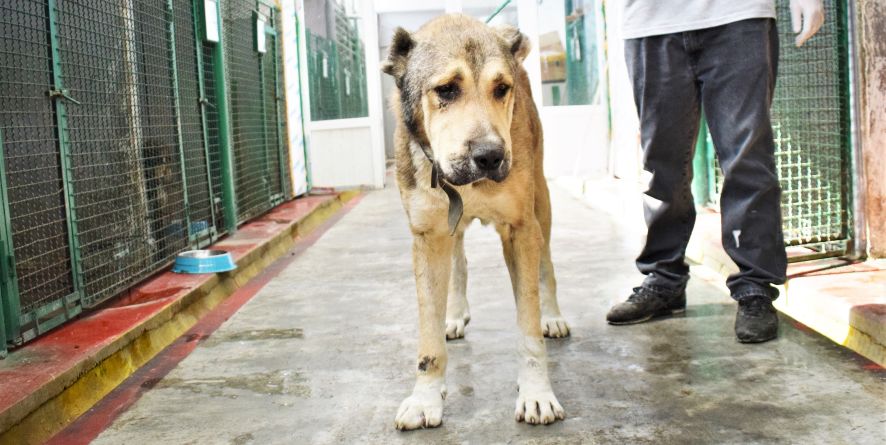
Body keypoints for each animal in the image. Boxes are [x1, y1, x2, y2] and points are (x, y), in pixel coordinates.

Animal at [382, 14, 570, 430]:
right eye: (446, 90)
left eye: (501, 89)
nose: (490, 156)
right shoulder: (427, 235)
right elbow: (429, 339)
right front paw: (425, 398)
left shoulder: (520, 229)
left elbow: (528, 326)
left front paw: (536, 393)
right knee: (459, 262)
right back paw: (453, 315)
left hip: (542, 201)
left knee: (548, 263)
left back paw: (553, 316)